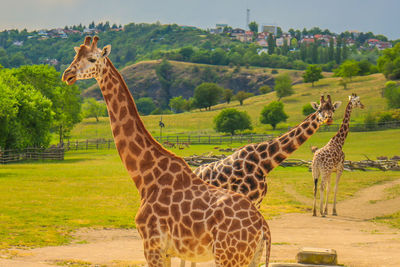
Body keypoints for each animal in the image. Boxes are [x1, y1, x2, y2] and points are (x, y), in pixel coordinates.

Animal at [61, 35, 270, 267]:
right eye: (75, 56)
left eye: (91, 58)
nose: (67, 75)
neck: (145, 176)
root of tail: (263, 226)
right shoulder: (167, 251)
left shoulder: (152, 246)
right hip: (250, 258)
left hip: (228, 257)